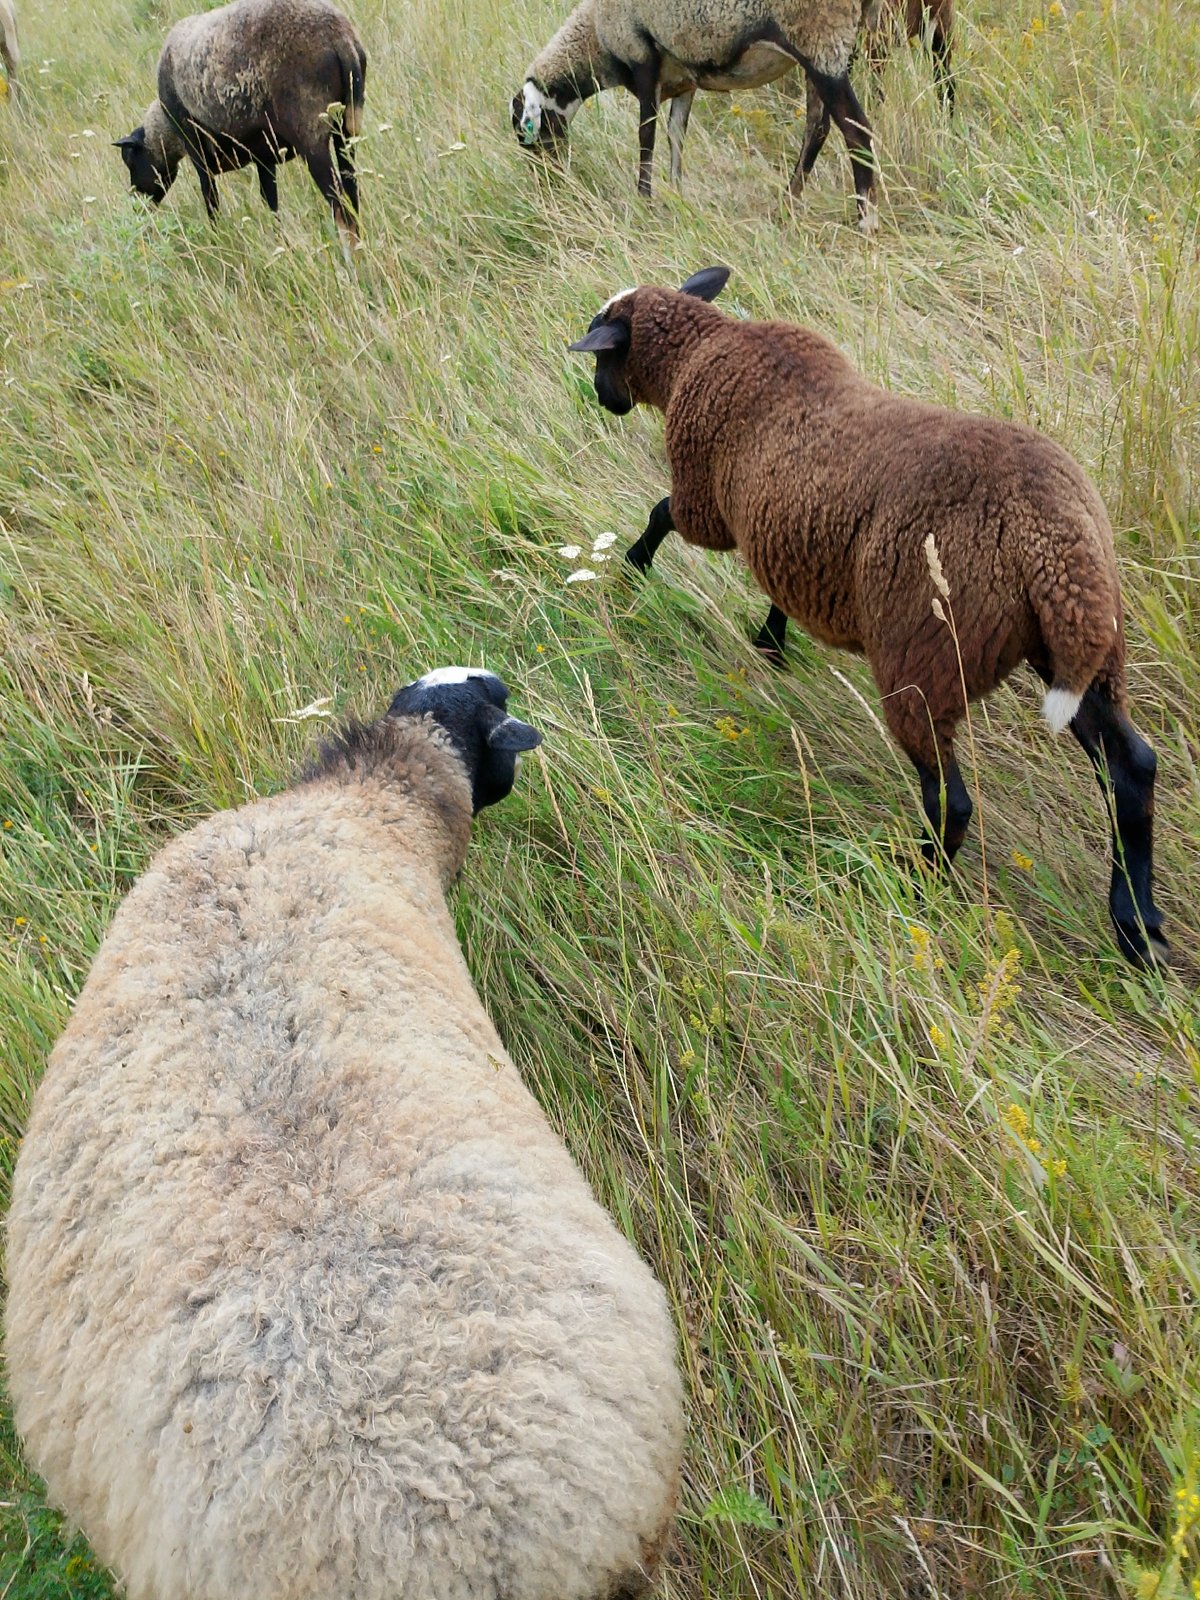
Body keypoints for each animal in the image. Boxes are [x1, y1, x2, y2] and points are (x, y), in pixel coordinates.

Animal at [114, 0, 366, 252]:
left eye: (130, 160)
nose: (138, 207)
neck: (165, 129)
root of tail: (339, 37)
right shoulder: (264, 157)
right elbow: (270, 203)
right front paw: (280, 246)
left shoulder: (197, 152)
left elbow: (211, 200)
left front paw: (217, 239)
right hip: (347, 130)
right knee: (352, 196)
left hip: (310, 134)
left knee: (340, 207)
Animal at [511, 0, 878, 232]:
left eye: (531, 133)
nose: (549, 184)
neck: (595, 38)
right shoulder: (683, 79)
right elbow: (676, 135)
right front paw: (677, 194)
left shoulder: (642, 59)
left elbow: (646, 136)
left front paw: (644, 201)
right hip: (838, 46)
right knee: (818, 127)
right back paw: (786, 206)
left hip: (820, 41)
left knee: (856, 130)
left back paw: (865, 222)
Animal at [568, 268, 1170, 969]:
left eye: (604, 352)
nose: (602, 398)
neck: (702, 352)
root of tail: (1051, 539)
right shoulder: (791, 531)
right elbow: (781, 589)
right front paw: (770, 643)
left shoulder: (707, 504)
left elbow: (663, 511)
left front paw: (633, 566)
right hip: (1085, 650)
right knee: (1130, 769)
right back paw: (1137, 927)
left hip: (925, 655)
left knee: (950, 798)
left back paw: (919, 887)